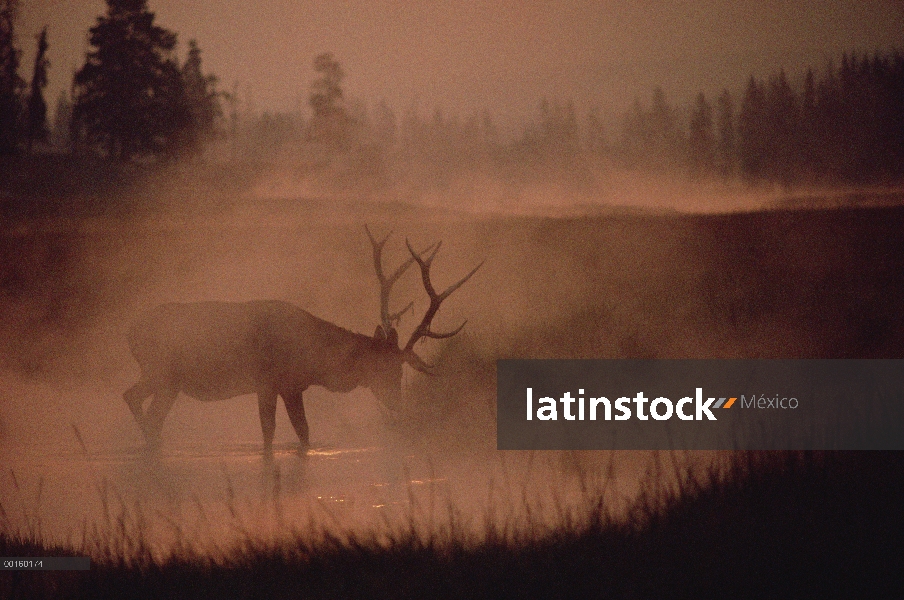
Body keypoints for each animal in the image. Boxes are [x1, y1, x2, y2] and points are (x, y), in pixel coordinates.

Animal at [123, 229, 484, 454]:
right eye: (388, 368)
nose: (398, 404)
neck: (316, 360)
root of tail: (130, 331)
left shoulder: (291, 385)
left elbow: (303, 432)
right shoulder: (269, 381)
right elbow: (274, 432)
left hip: (165, 378)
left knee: (136, 401)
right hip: (163, 373)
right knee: (138, 404)